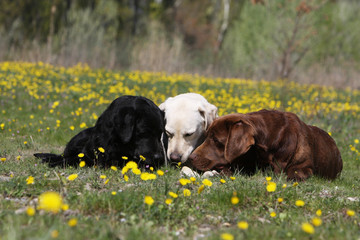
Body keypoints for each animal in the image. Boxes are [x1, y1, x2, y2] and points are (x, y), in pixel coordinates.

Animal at [34, 95, 168, 169]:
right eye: (144, 132)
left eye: (160, 134)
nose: (159, 158)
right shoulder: (88, 154)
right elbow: (75, 158)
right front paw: (55, 162)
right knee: (63, 155)